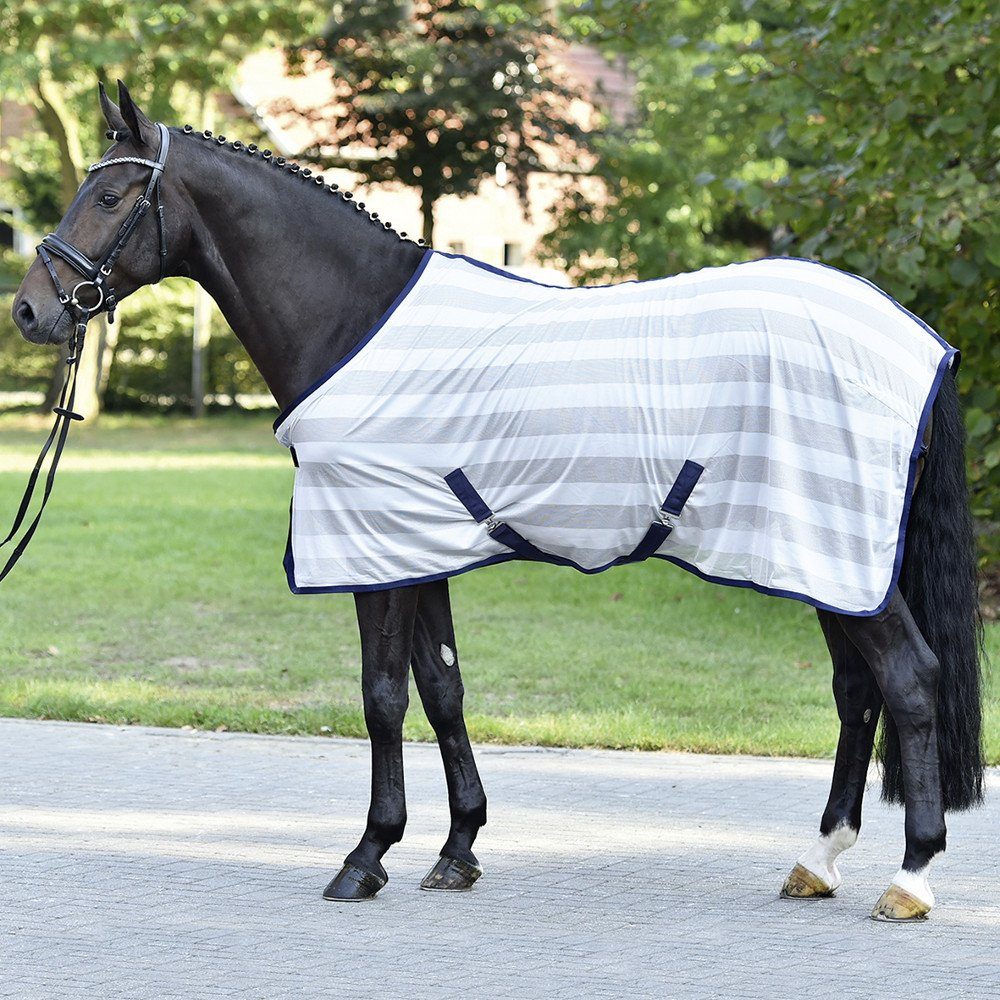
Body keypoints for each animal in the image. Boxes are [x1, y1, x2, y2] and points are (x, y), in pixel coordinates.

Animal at [10, 82, 983, 921]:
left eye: (108, 197)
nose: (28, 312)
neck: (352, 316)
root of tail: (920, 338)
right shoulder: (417, 546)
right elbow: (442, 687)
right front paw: (457, 849)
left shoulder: (372, 547)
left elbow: (381, 696)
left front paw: (367, 857)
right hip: (818, 557)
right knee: (858, 692)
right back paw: (817, 862)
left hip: (838, 555)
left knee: (909, 679)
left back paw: (910, 877)